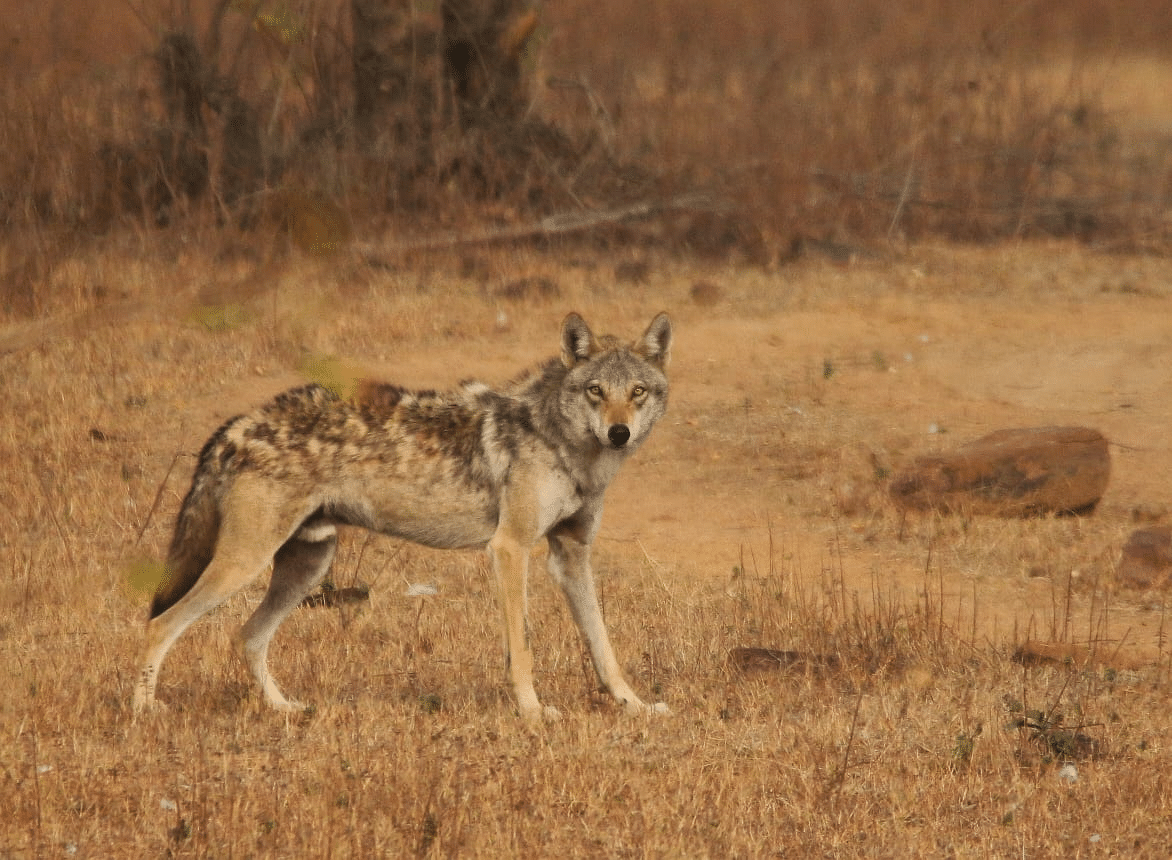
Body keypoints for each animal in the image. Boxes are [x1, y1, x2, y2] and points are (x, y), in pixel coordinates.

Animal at [133, 311, 675, 721]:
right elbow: (522, 647)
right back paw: (144, 710)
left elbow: (603, 645)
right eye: (596, 391)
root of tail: (238, 423)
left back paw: (284, 708)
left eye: (638, 391)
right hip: (244, 565)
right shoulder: (509, 548)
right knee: (159, 625)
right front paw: (533, 713)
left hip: (305, 566)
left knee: (246, 636)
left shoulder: (571, 554)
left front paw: (634, 705)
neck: (566, 447)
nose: (619, 433)